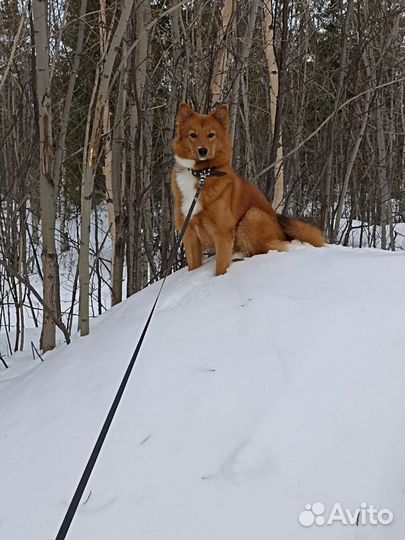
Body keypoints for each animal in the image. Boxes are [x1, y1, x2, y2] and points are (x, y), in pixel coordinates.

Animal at [170, 103, 326, 276]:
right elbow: (193, 266)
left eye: (211, 135)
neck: (202, 173)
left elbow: (221, 267)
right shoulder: (190, 235)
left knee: (264, 251)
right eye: (193, 135)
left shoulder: (222, 233)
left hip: (252, 217)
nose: (202, 151)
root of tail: (284, 234)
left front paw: (220, 277)